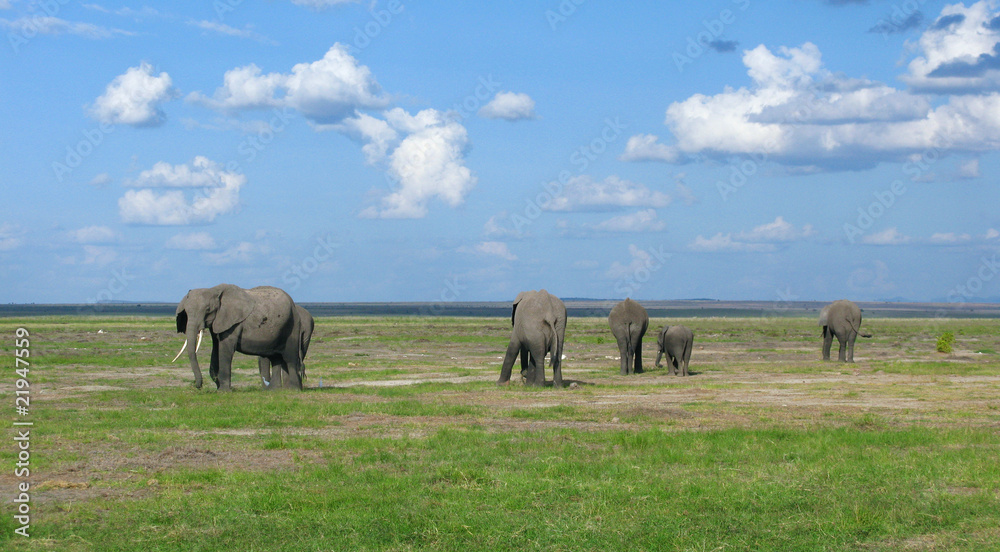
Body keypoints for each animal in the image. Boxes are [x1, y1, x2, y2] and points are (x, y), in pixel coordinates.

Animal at [174, 284, 308, 392]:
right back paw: (273, 390)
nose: (198, 386)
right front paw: (218, 386)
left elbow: (225, 349)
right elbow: (216, 348)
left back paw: (294, 390)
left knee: (289, 357)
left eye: (208, 310)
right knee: (275, 358)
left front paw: (223, 391)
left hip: (292, 324)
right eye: (186, 312)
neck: (213, 289)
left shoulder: (233, 323)